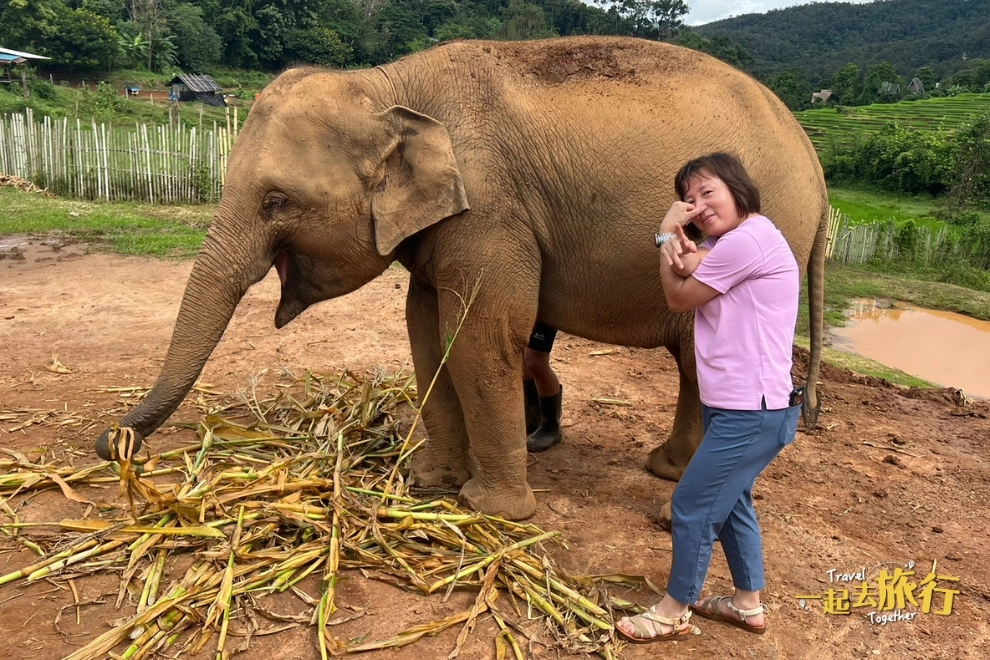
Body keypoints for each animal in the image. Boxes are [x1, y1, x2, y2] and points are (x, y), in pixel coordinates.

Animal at [95, 36, 825, 521]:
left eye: (276, 200)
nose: (113, 443)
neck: (387, 86)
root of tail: (816, 166)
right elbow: (426, 330)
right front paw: (428, 484)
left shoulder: (492, 208)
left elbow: (481, 332)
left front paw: (493, 510)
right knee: (695, 359)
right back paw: (668, 470)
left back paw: (680, 490)